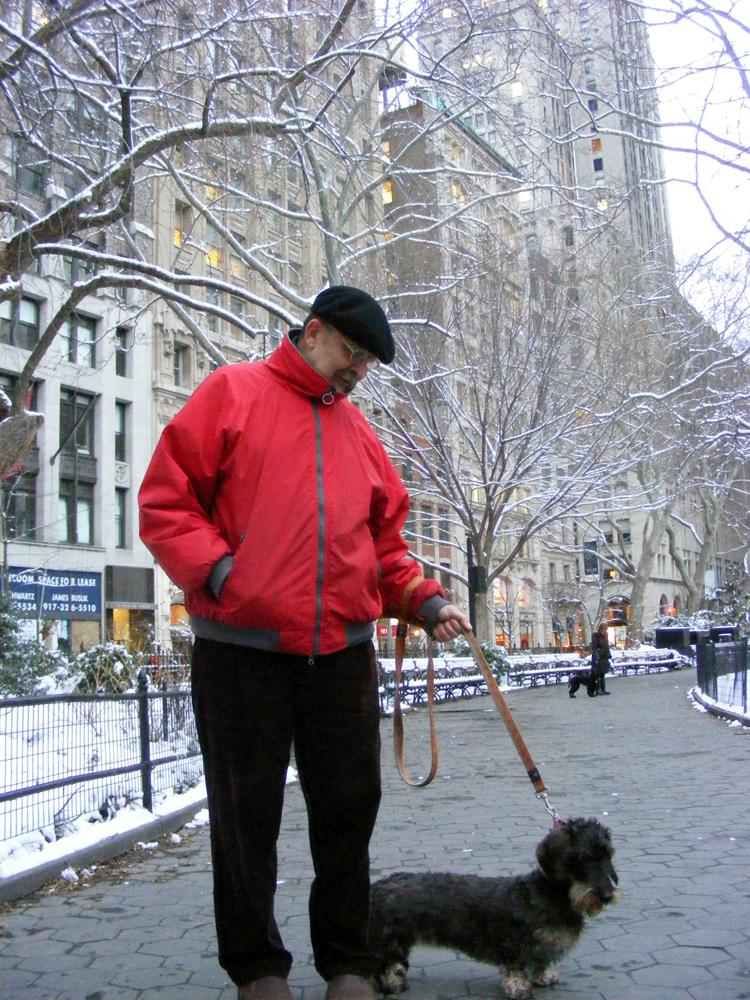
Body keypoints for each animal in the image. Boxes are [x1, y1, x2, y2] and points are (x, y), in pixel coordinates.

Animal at [372, 816, 624, 996]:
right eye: (583, 858)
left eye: (608, 855)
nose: (606, 896)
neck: (553, 894)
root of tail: (377, 885)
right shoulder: (514, 944)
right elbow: (515, 966)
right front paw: (518, 987)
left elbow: (540, 961)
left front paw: (543, 976)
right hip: (390, 941)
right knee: (384, 965)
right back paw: (392, 984)